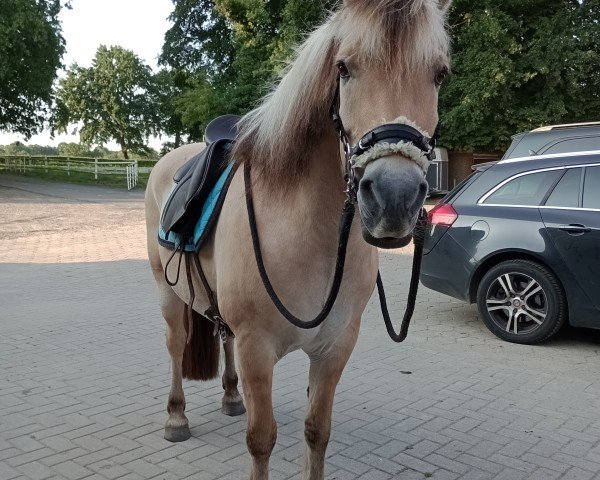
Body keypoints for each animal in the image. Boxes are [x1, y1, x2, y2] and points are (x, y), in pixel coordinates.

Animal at [146, 1, 450, 478]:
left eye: (440, 74)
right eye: (343, 68)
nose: (394, 198)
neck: (313, 238)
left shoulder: (335, 348)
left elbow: (317, 432)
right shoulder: (257, 349)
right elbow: (261, 439)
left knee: (221, 336)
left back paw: (231, 396)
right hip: (167, 291)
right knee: (176, 344)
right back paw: (176, 417)